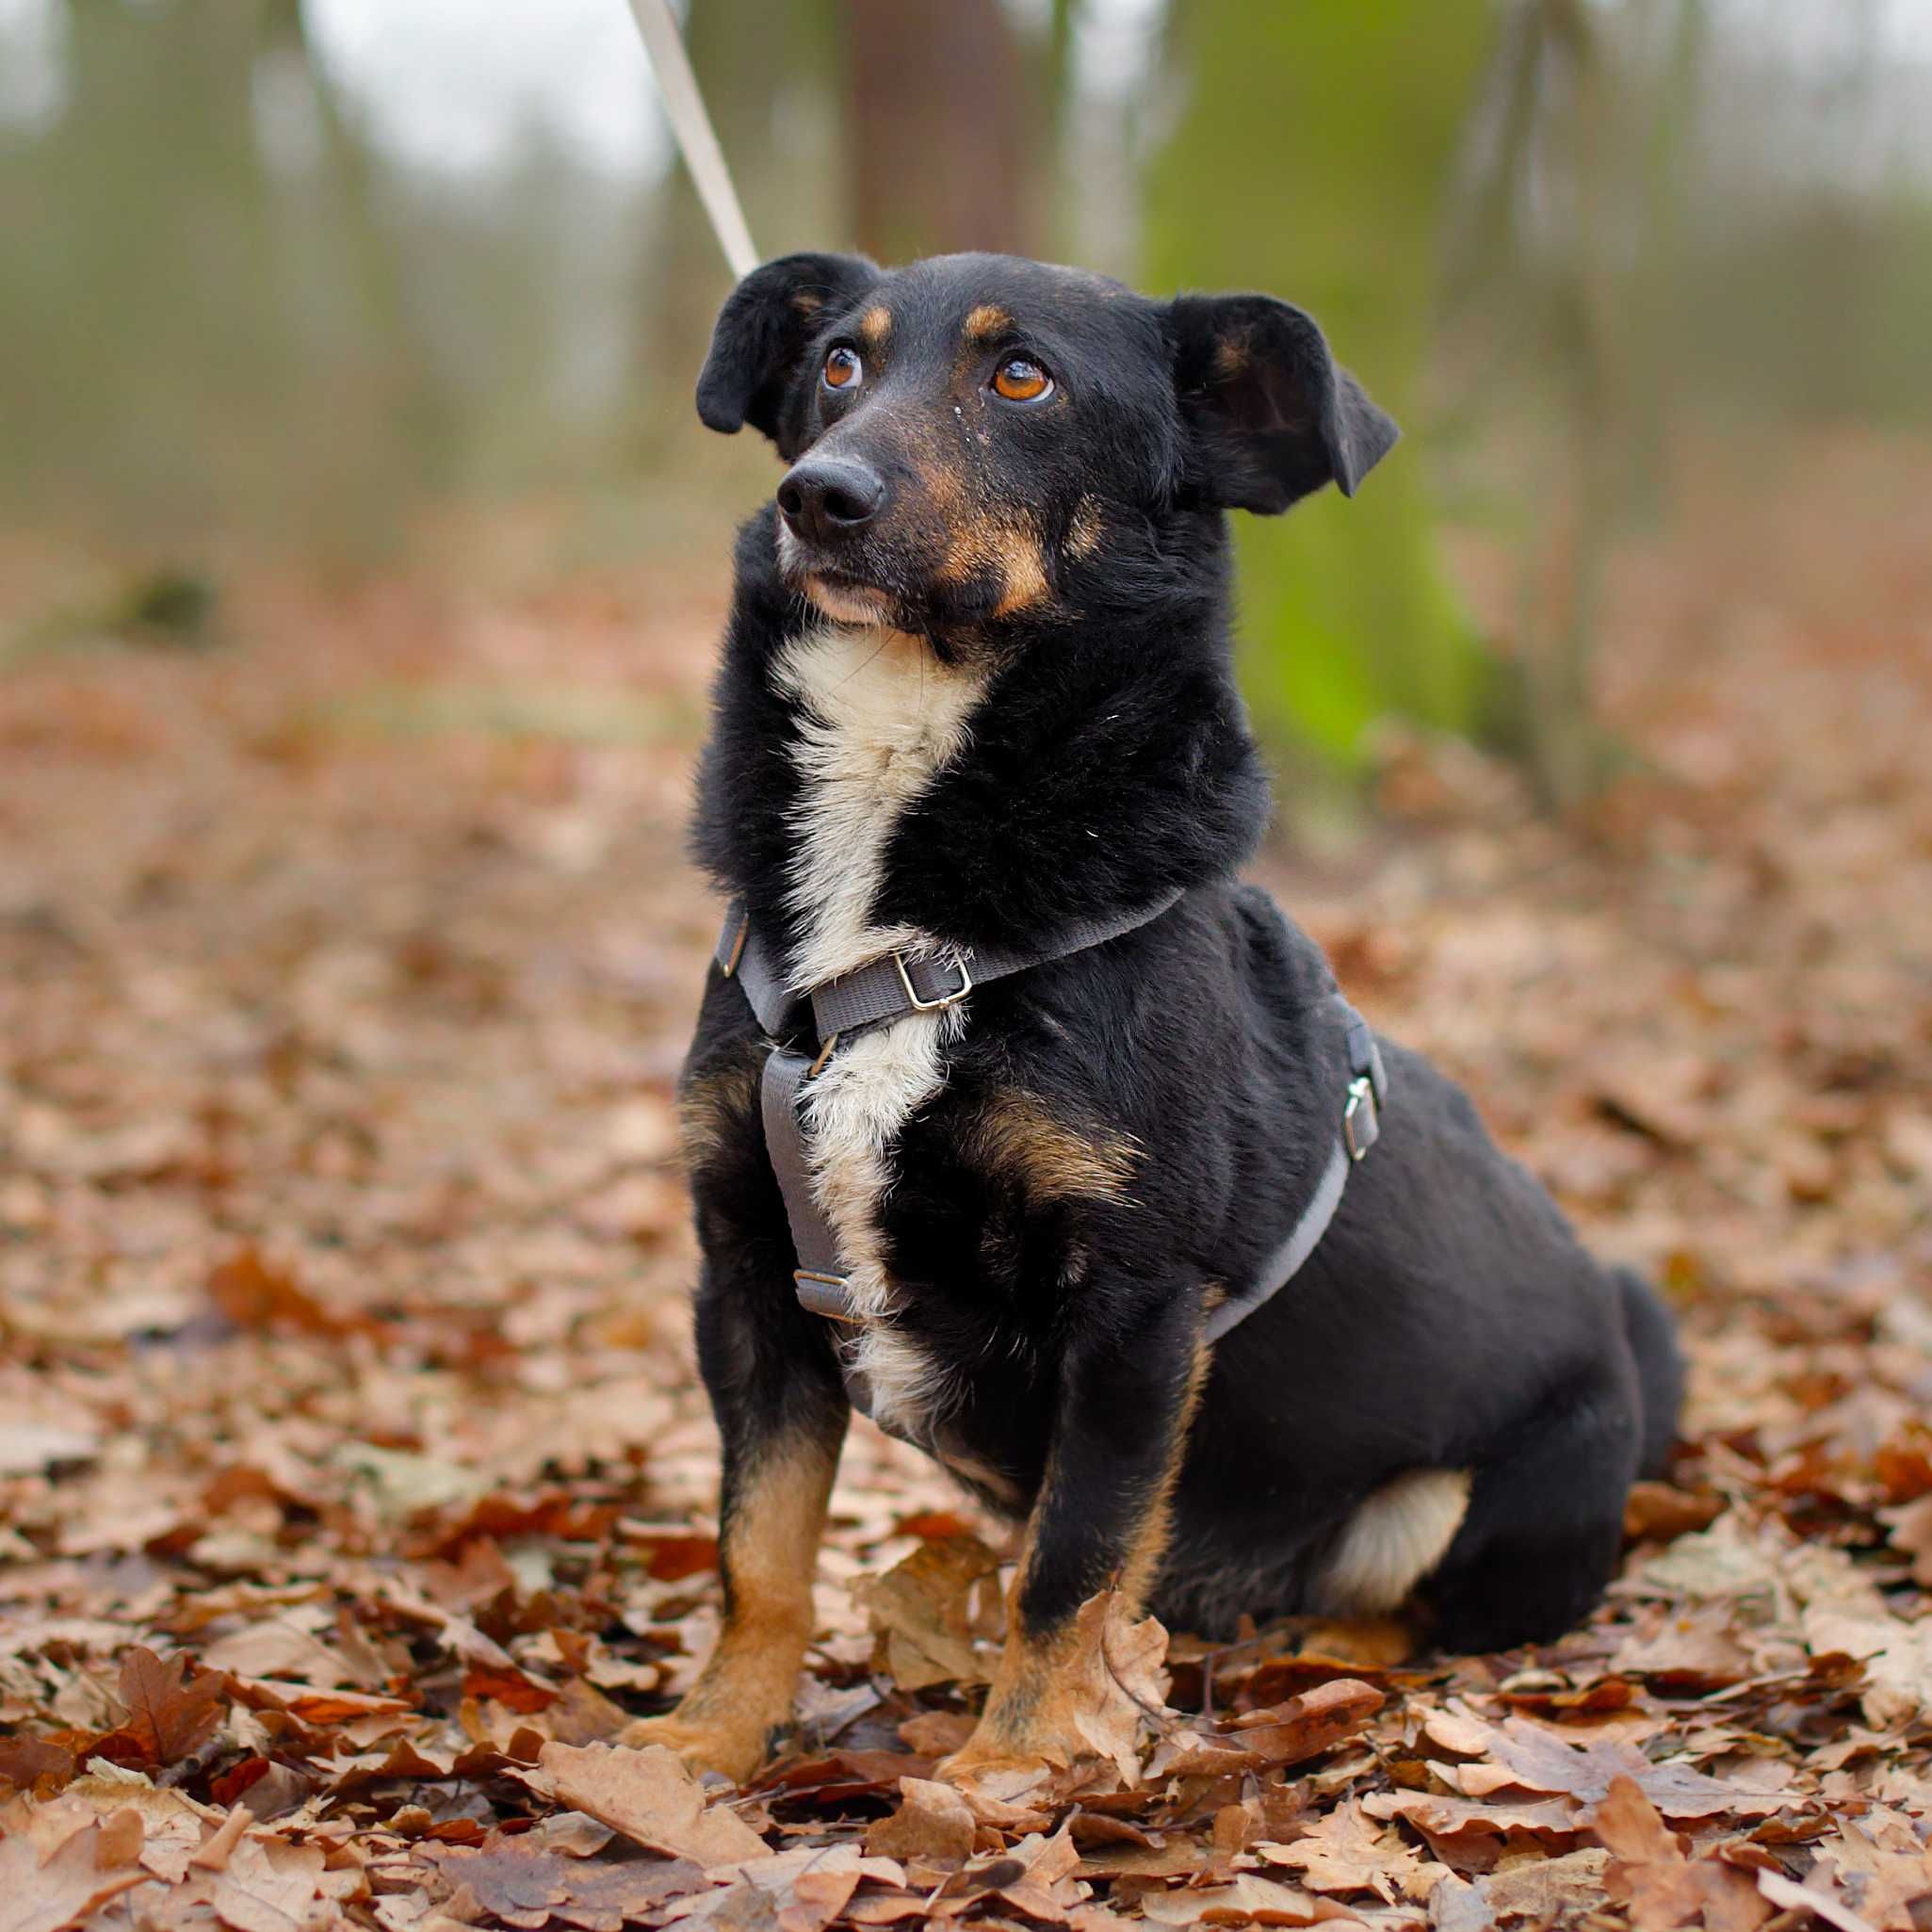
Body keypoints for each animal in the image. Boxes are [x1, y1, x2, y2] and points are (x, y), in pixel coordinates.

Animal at [625, 252, 1684, 1777]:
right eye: (837, 364)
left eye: (1022, 378)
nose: (815, 495)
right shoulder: (747, 1273)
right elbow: (756, 1548)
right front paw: (707, 1736)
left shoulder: (1132, 1313)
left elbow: (1067, 1566)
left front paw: (1003, 1771)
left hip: (1472, 1499)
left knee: (1416, 1614)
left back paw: (1318, 1664)